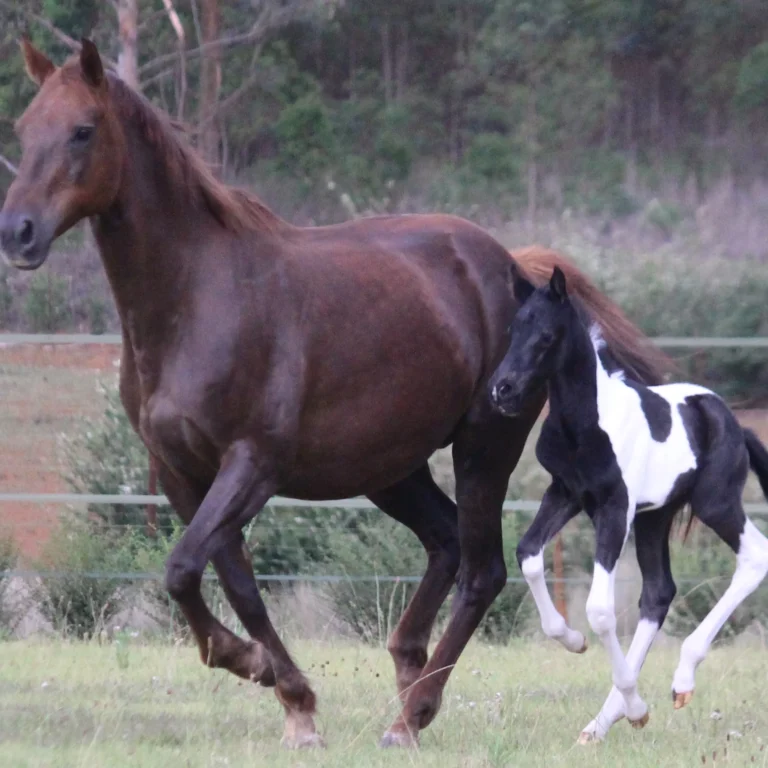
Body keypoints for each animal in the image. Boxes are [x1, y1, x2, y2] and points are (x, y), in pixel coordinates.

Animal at [0, 37, 670, 749]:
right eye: (24, 128)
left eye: (82, 130)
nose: (18, 232)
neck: (198, 300)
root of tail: (518, 269)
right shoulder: (182, 472)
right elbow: (231, 581)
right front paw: (290, 698)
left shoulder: (252, 465)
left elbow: (182, 569)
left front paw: (254, 666)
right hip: (390, 466)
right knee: (445, 543)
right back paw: (408, 676)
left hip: (482, 449)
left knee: (481, 570)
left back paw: (412, 714)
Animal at [487, 265, 768, 744]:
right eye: (512, 329)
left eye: (546, 335)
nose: (502, 391)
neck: (584, 425)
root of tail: (733, 421)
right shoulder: (565, 493)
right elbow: (528, 555)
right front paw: (573, 642)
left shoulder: (615, 509)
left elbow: (599, 610)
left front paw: (635, 703)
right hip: (655, 518)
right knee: (658, 592)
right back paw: (604, 721)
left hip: (715, 504)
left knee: (755, 555)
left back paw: (680, 680)